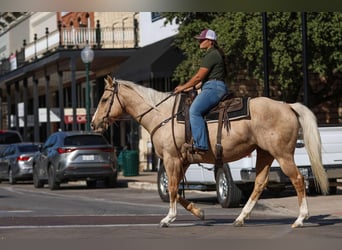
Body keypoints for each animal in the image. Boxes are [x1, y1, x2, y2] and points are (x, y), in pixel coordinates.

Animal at [91, 76, 328, 229]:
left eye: (104, 100)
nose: (93, 123)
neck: (162, 115)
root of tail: (287, 105)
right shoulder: (182, 160)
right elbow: (176, 190)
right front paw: (199, 212)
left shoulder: (171, 159)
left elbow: (172, 189)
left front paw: (169, 218)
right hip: (265, 153)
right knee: (260, 183)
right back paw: (240, 218)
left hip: (282, 154)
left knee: (297, 179)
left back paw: (300, 219)